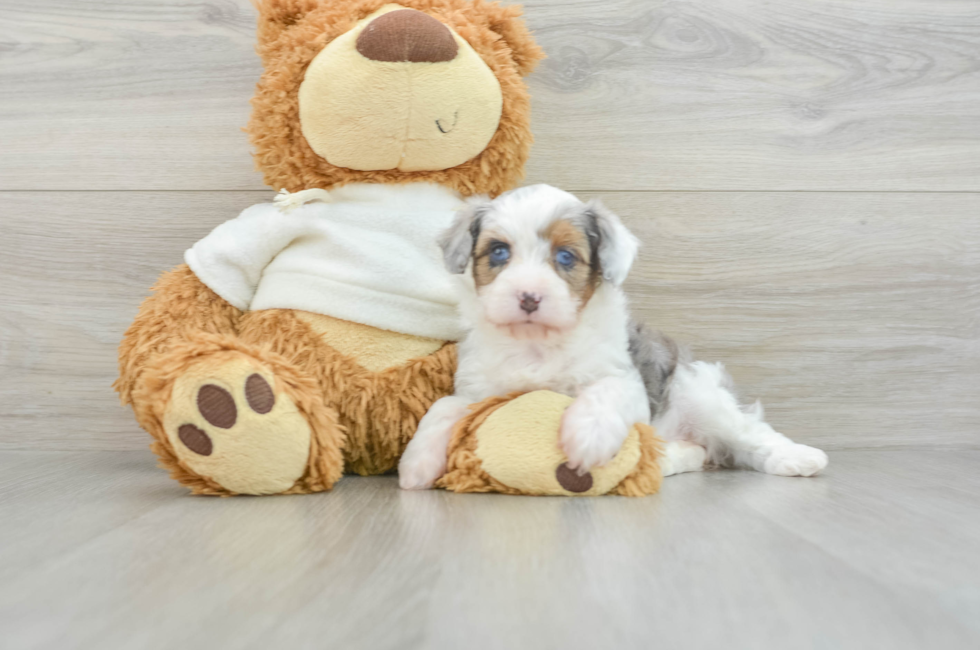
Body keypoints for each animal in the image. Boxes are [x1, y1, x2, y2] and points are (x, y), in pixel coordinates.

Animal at [398, 182, 828, 486]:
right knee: (697, 452)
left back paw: (799, 457)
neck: (538, 343)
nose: (529, 297)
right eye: (499, 252)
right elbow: (444, 406)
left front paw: (588, 437)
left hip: (700, 394)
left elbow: (606, 390)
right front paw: (417, 462)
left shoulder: (626, 379)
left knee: (749, 433)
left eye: (565, 256)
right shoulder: (477, 390)